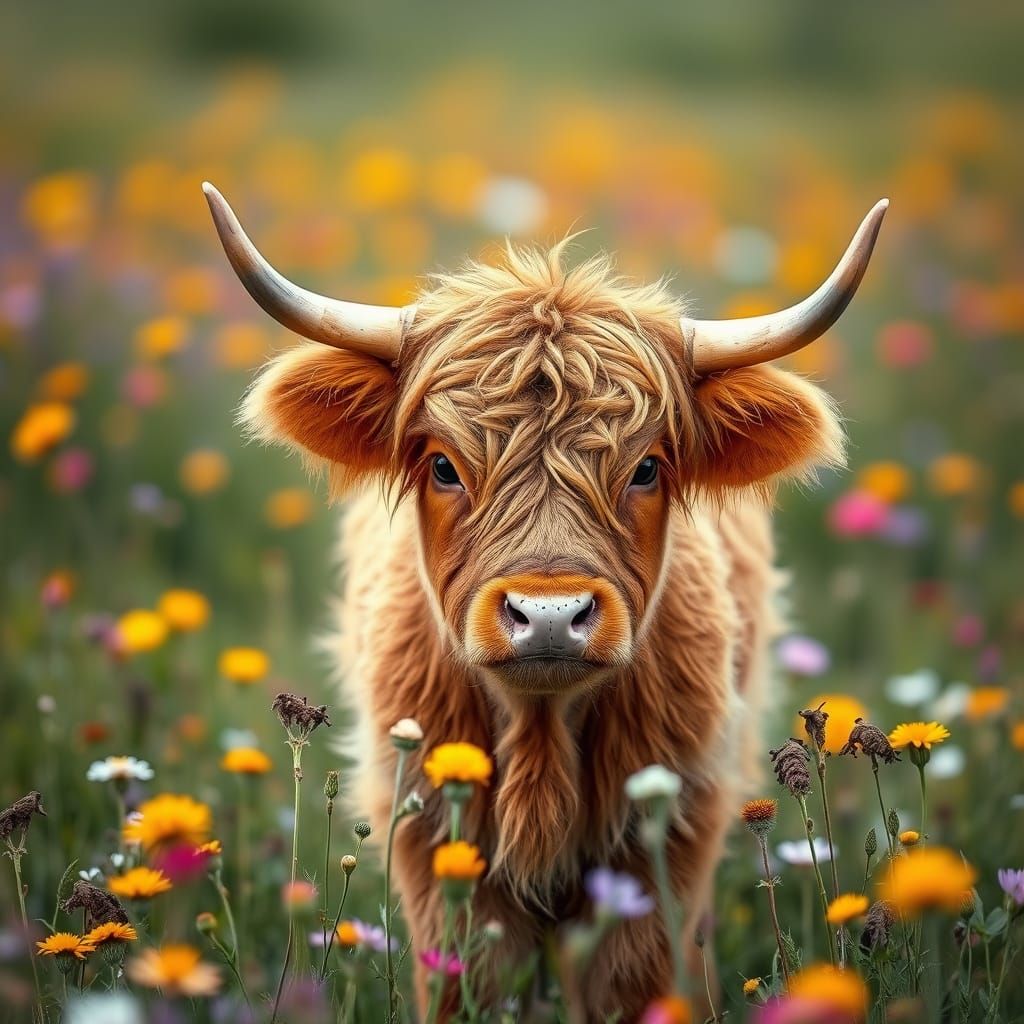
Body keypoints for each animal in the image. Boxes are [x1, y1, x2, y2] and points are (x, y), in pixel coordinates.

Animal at [204, 182, 885, 1020]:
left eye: (647, 468)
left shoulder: (667, 834)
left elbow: (634, 984)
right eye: (443, 466)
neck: (541, 740)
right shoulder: (433, 839)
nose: (550, 615)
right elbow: (467, 980)